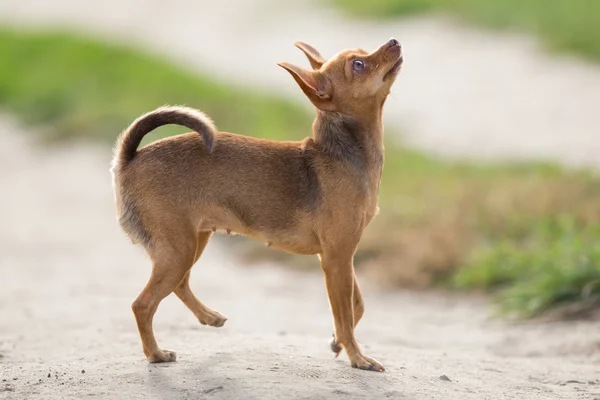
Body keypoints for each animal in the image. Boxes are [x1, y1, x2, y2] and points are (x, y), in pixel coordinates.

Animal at [112, 38, 404, 372]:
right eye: (358, 65)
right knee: (143, 304)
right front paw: (357, 356)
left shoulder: (341, 257)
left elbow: (357, 305)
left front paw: (337, 342)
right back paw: (155, 353)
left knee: (179, 285)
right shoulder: (336, 259)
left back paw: (208, 317)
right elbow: (343, 313)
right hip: (178, 248)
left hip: (191, 242)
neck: (342, 154)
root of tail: (129, 158)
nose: (393, 41)